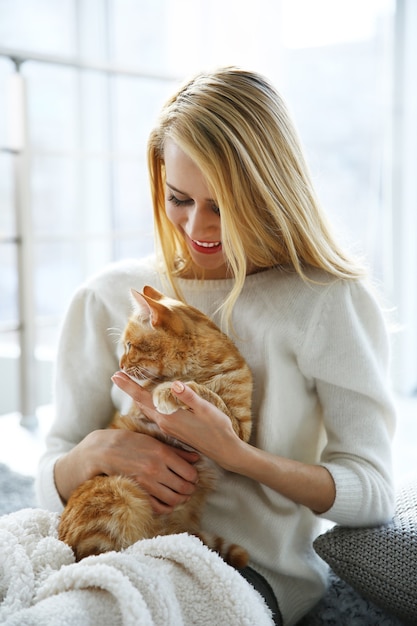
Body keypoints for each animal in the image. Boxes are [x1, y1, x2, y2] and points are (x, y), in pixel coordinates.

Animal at [57, 286, 252, 568]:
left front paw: (171, 391)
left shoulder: (237, 432)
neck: (201, 368)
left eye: (129, 345)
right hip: (118, 492)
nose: (120, 366)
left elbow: (203, 392)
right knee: (98, 558)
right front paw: (169, 389)